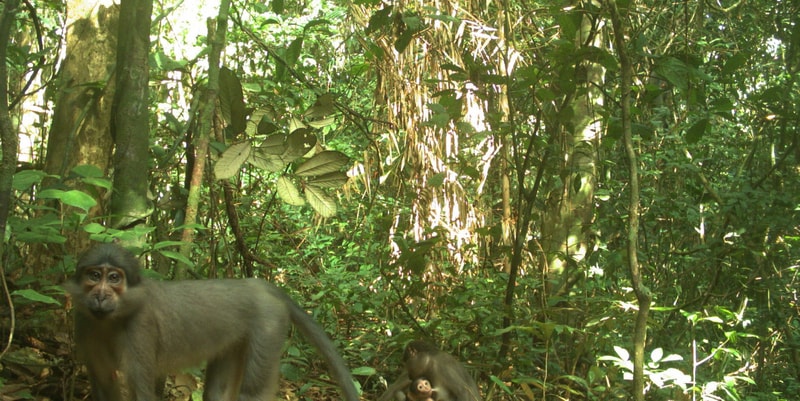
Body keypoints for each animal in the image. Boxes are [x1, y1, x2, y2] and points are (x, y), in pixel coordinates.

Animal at [65, 243, 360, 401]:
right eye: (94, 276)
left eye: (114, 278)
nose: (100, 296)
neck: (111, 319)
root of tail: (257, 286)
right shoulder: (84, 323)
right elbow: (105, 384)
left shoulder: (140, 329)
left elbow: (141, 391)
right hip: (235, 341)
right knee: (217, 394)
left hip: (269, 324)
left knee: (252, 393)